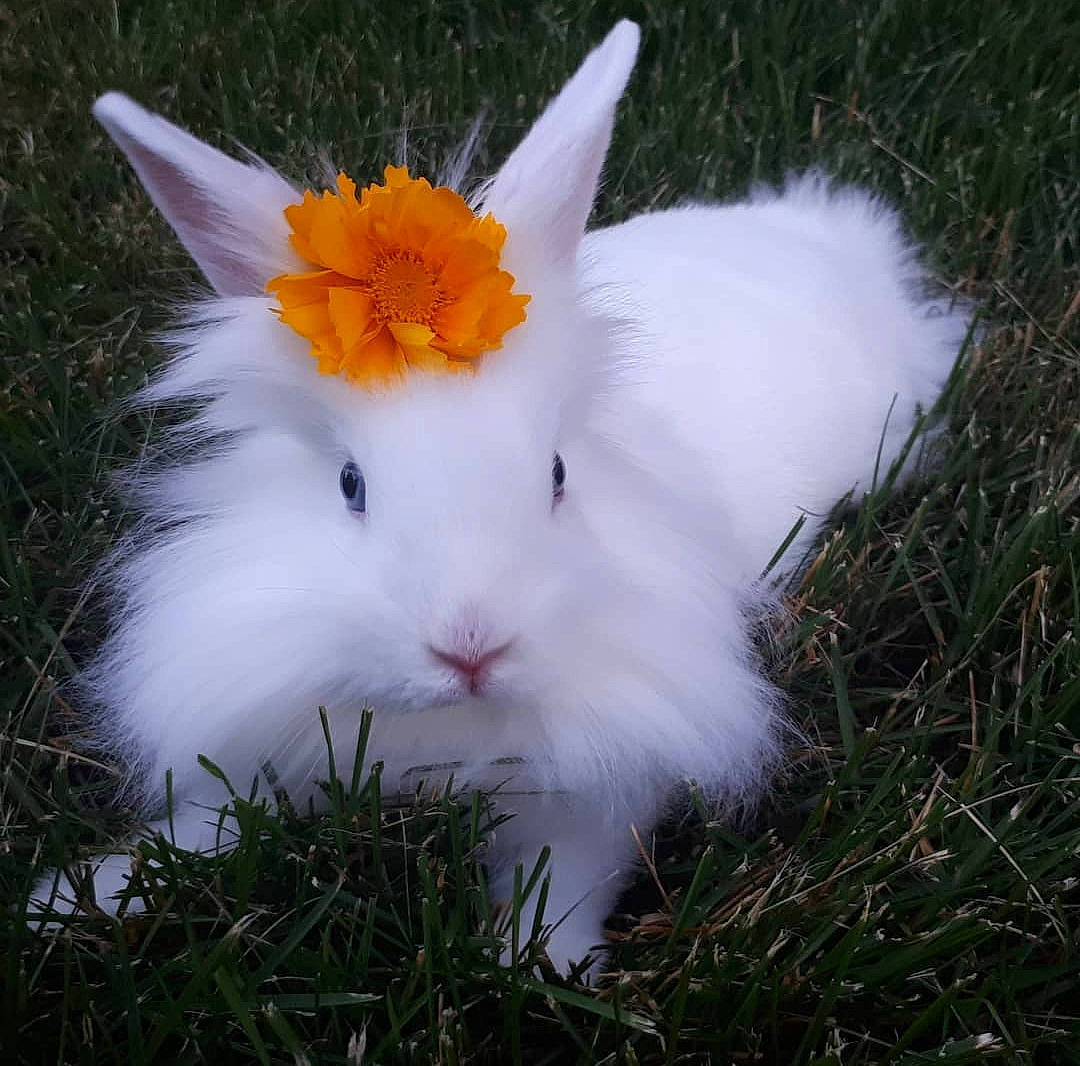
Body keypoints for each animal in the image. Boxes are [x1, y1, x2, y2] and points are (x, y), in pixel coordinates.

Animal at [31, 20, 970, 975]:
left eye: (556, 474)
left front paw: (544, 963)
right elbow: (204, 824)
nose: (470, 647)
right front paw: (70, 900)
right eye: (350, 484)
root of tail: (824, 229)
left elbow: (566, 875)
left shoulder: (598, 791)